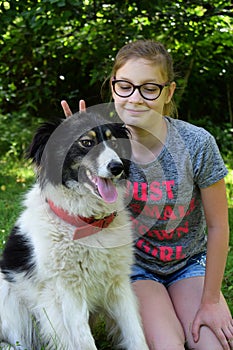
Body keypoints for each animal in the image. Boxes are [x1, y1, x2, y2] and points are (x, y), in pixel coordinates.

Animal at [0, 111, 149, 350]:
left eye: (114, 142)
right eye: (86, 142)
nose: (117, 167)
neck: (88, 222)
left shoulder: (118, 284)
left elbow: (135, 334)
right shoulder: (67, 291)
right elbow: (84, 339)